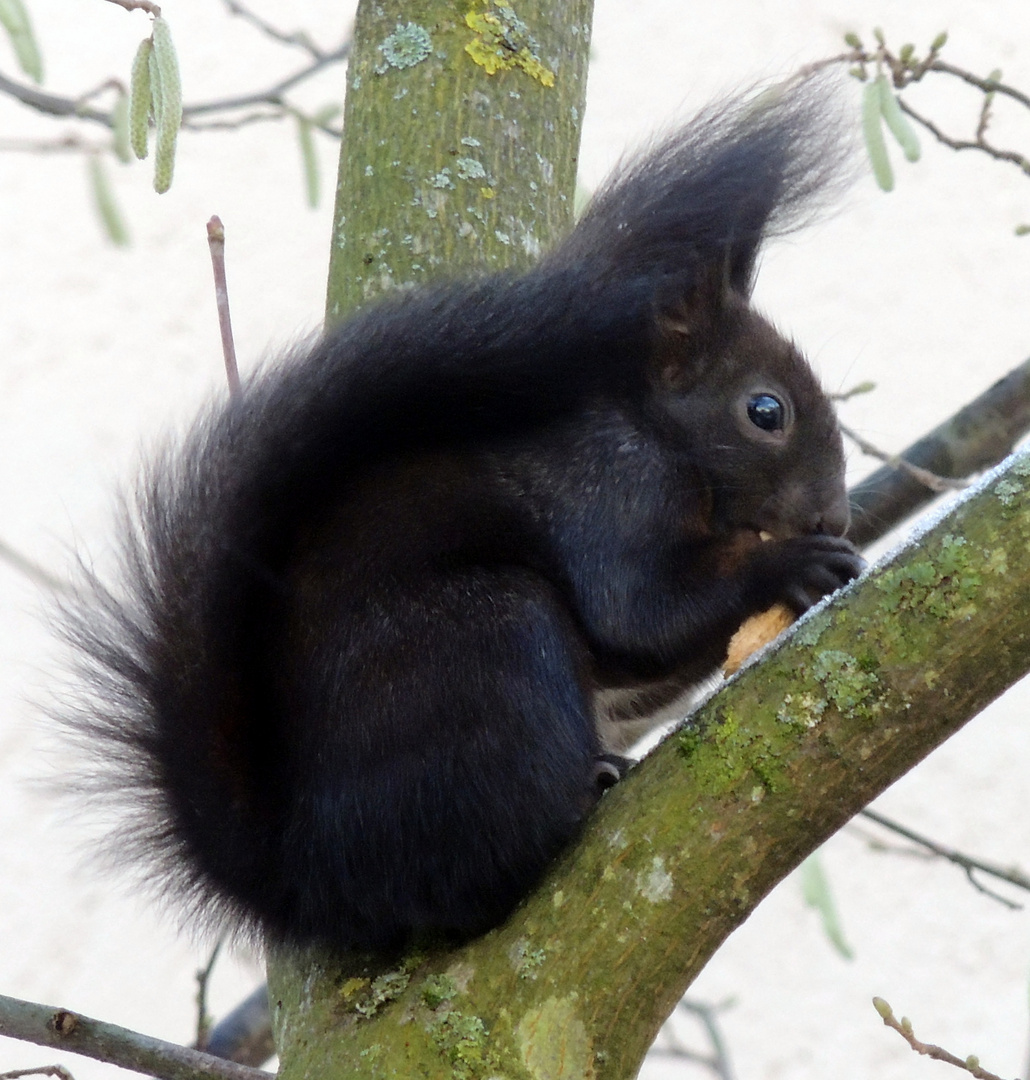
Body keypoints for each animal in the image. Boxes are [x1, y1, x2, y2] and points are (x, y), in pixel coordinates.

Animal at [62, 84, 859, 950]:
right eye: (765, 410)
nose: (834, 514)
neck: (646, 420)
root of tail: (306, 875)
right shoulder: (610, 489)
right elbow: (641, 611)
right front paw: (792, 564)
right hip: (489, 643)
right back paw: (582, 794)